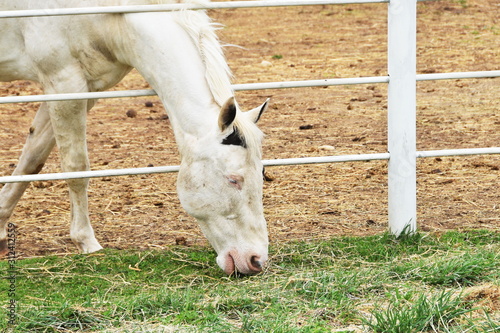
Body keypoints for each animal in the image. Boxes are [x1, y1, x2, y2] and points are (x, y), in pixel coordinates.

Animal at [0, 0, 270, 274]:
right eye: (233, 179)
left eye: (261, 174)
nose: (255, 260)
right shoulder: (64, 84)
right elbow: (76, 169)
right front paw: (86, 242)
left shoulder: (84, 89)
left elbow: (32, 158)